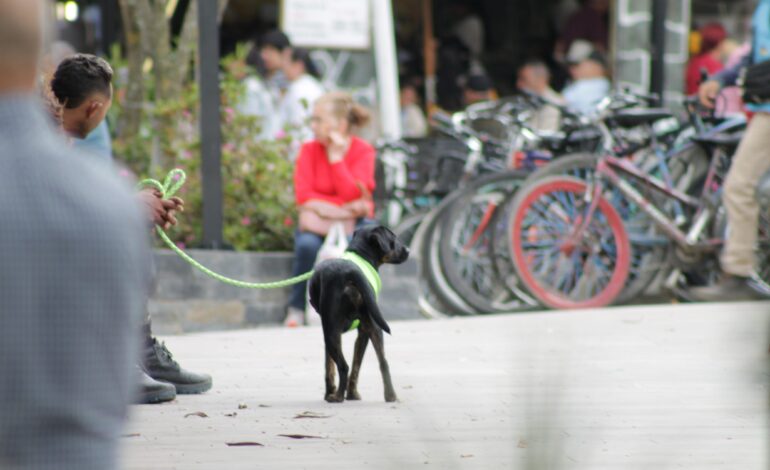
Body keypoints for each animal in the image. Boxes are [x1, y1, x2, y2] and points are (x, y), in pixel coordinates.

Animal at [308, 226, 412, 402]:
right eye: (394, 239)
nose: (408, 250)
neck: (360, 254)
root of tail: (350, 272)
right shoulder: (363, 332)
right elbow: (356, 366)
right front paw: (352, 394)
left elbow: (329, 367)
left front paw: (330, 392)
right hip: (374, 327)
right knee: (383, 362)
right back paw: (390, 396)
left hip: (330, 332)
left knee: (343, 366)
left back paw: (337, 397)